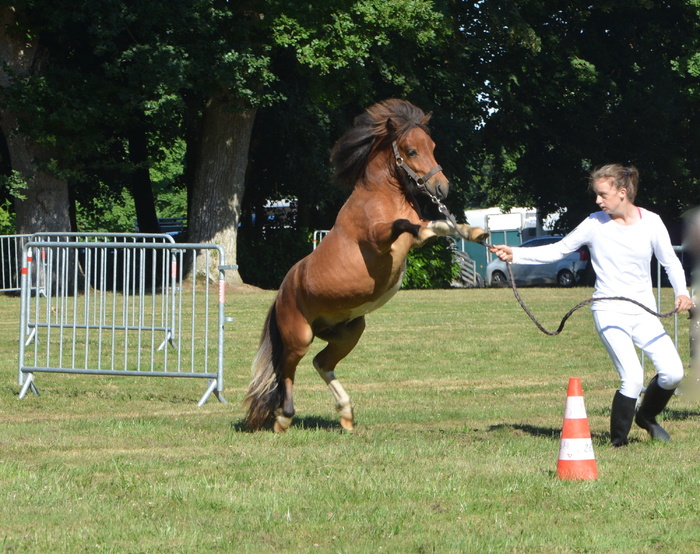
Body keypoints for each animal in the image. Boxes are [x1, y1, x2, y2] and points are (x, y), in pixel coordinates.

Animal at [245, 98, 486, 432]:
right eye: (412, 150)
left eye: (433, 146)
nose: (442, 189)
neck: (382, 197)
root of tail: (281, 294)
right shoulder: (377, 239)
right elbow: (408, 226)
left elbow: (438, 225)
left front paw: (474, 232)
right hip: (300, 336)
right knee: (287, 369)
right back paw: (284, 417)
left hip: (350, 331)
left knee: (321, 362)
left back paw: (346, 413)